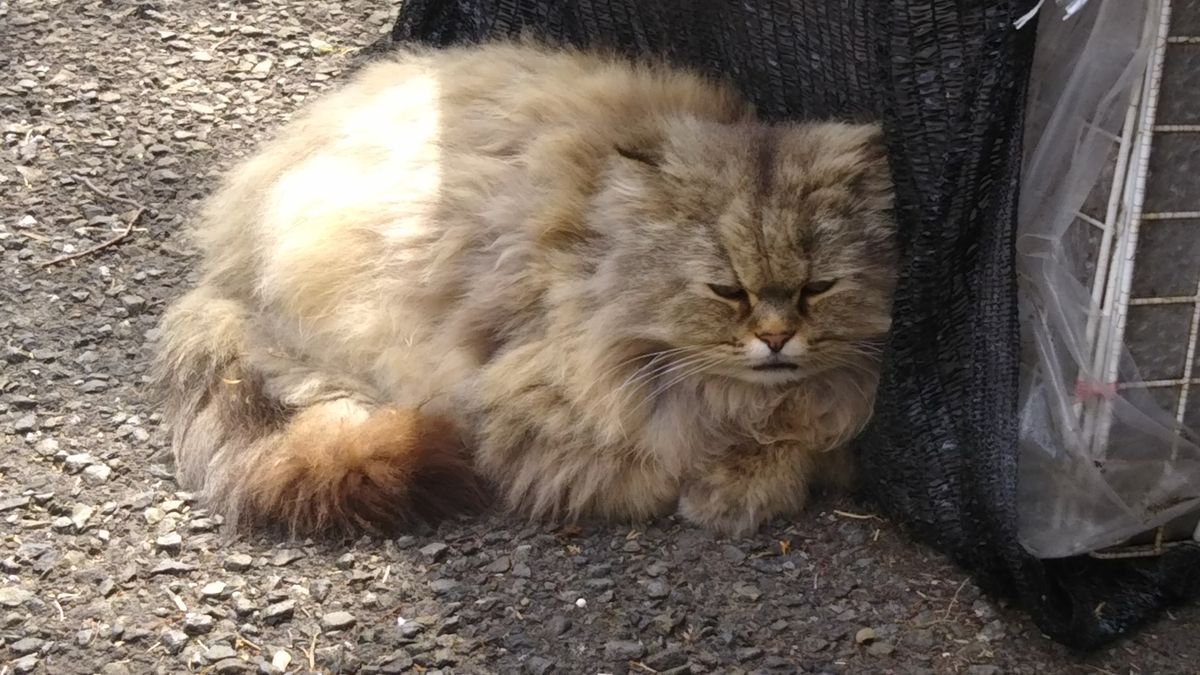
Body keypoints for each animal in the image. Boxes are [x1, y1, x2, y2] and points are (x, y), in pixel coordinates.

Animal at [154, 42, 897, 535]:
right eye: (726, 291)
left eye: (818, 287)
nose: (776, 338)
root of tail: (224, 257)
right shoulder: (523, 408)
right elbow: (646, 461)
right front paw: (719, 489)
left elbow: (810, 445)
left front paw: (750, 480)